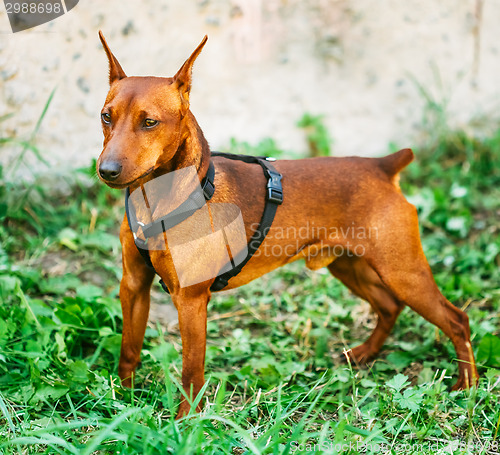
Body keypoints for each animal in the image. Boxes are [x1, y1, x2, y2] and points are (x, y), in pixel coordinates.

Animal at [96, 31, 476, 416]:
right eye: (106, 117)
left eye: (150, 122)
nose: (107, 170)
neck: (160, 199)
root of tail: (382, 166)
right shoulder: (133, 286)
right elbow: (129, 349)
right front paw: (122, 401)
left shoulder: (190, 300)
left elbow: (191, 372)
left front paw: (186, 420)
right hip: (351, 266)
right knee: (389, 307)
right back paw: (366, 353)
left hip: (403, 272)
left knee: (456, 319)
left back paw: (467, 387)